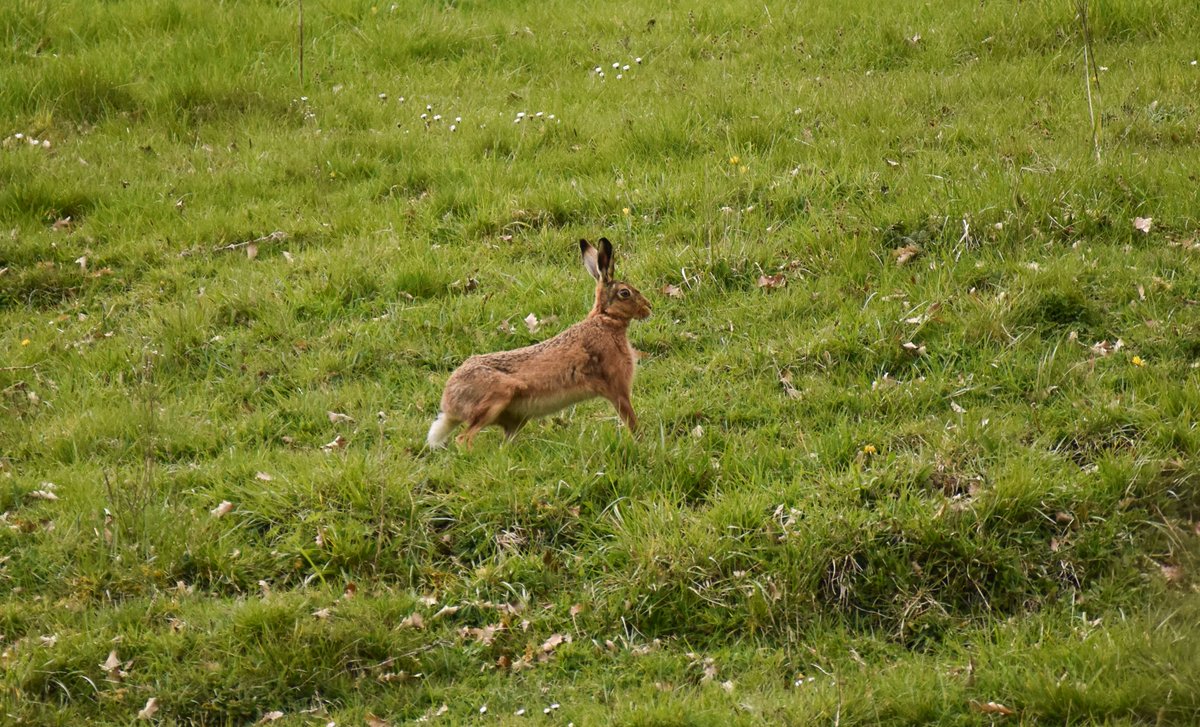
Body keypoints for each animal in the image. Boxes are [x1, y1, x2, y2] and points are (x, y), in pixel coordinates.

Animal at [427, 237, 651, 449]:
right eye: (625, 293)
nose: (649, 307)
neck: (606, 320)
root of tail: (449, 401)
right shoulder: (617, 388)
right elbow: (631, 421)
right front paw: (643, 443)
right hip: (495, 399)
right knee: (463, 439)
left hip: (515, 419)